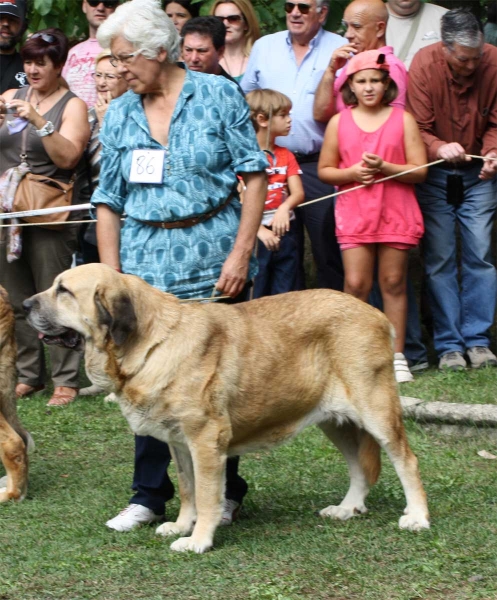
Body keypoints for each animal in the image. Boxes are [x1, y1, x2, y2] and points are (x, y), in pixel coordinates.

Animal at [22, 264, 426, 552]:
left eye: (64, 291)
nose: (24, 305)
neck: (148, 343)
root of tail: (376, 313)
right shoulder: (179, 443)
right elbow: (187, 489)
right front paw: (181, 525)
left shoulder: (205, 439)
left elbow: (206, 494)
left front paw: (198, 540)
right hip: (335, 422)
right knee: (359, 466)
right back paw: (347, 508)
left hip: (375, 410)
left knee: (406, 460)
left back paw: (418, 517)